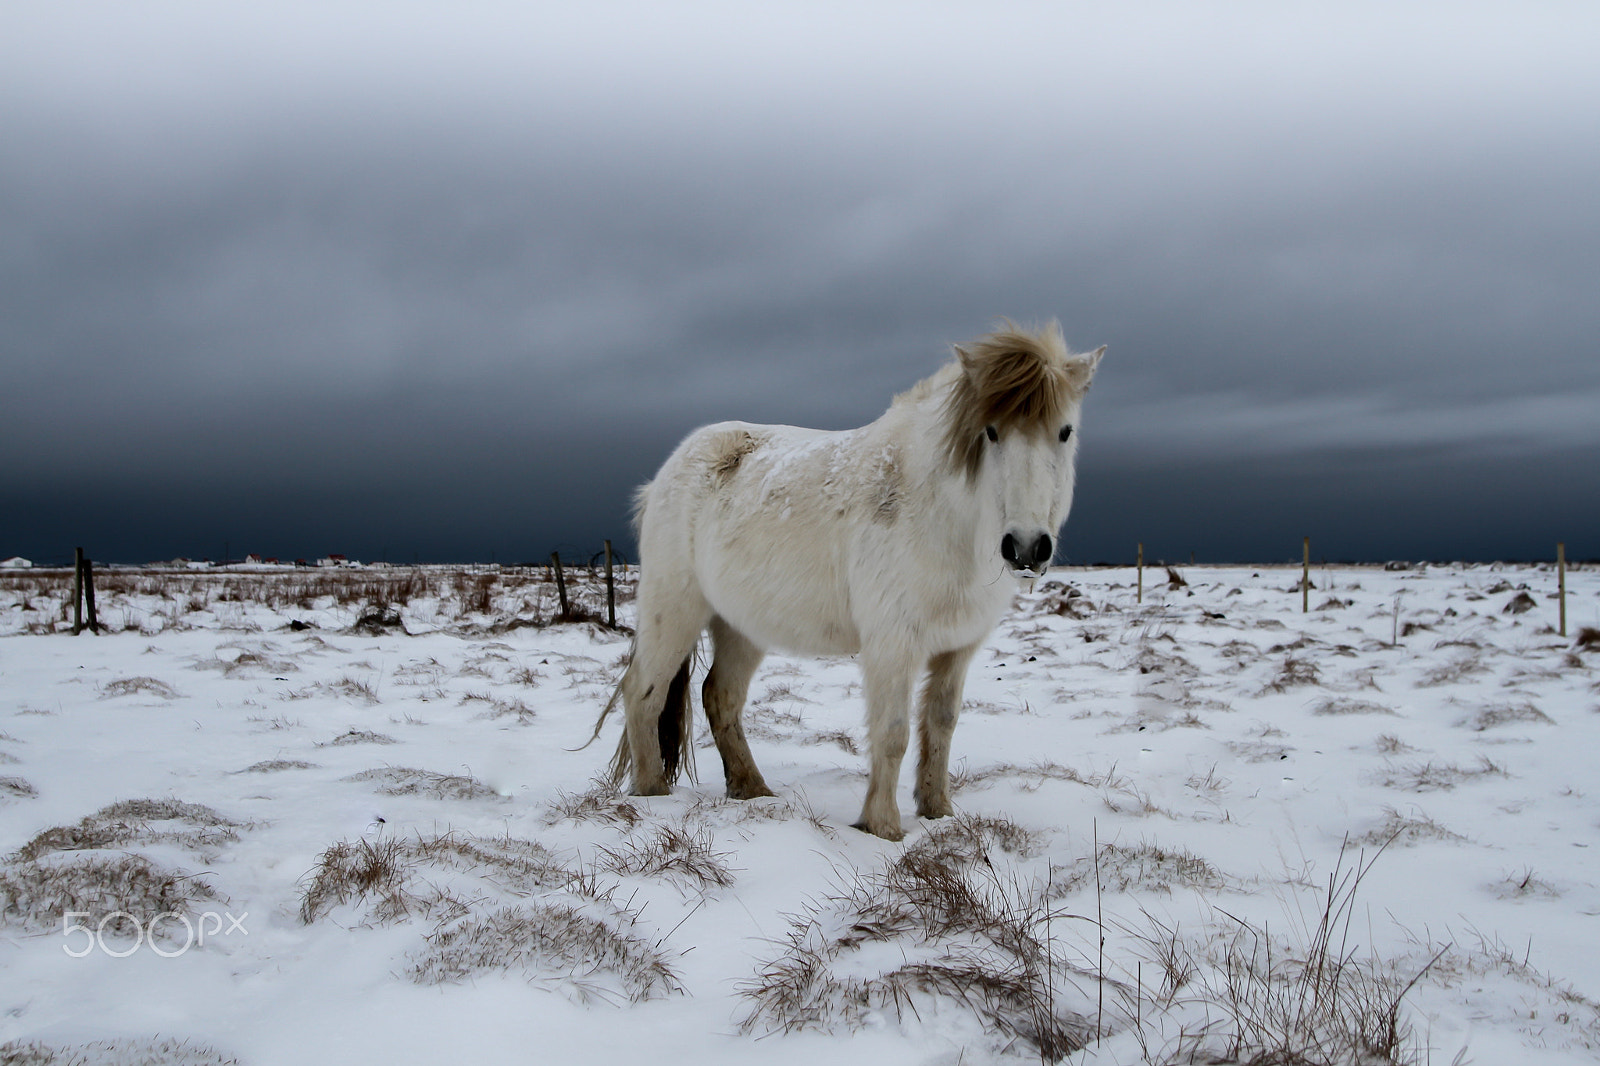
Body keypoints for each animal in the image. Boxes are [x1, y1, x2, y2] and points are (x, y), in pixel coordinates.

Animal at [598, 320, 1100, 832]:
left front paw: (938, 813)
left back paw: (752, 790)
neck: (942, 515)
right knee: (642, 693)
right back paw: (653, 793)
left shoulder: (958, 647)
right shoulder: (892, 643)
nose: (1026, 547)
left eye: (1064, 432)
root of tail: (665, 476)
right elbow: (893, 732)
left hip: (741, 625)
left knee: (720, 696)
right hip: (674, 611)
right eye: (991, 432)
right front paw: (882, 827)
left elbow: (940, 724)